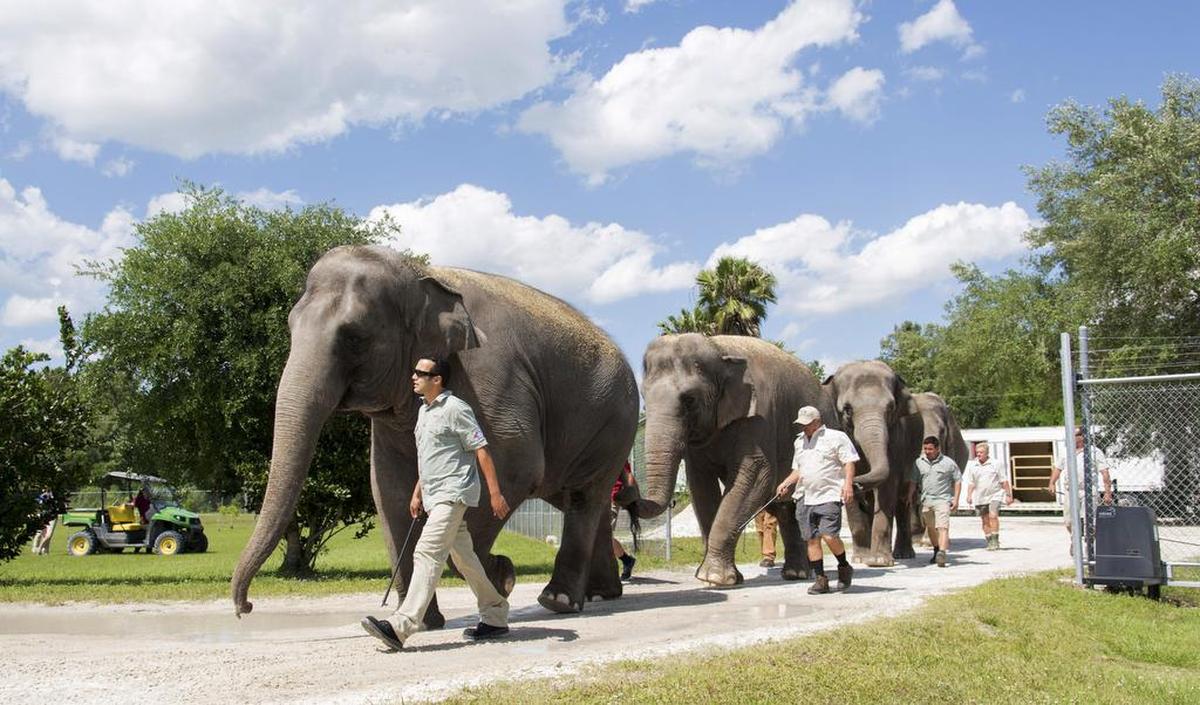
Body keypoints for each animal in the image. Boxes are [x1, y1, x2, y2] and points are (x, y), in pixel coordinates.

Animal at [231, 245, 639, 619]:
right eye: (290, 326)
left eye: (354, 336)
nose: (246, 607)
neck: (419, 273)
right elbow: (388, 486)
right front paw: (425, 621)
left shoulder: (492, 376)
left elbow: (515, 466)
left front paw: (500, 574)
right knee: (583, 501)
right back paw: (601, 594)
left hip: (614, 422)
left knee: (584, 498)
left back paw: (558, 601)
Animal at [635, 333, 828, 586]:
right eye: (644, 397)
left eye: (689, 400)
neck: (719, 350)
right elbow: (701, 486)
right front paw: (715, 577)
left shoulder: (761, 415)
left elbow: (757, 474)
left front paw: (714, 578)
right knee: (785, 509)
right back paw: (795, 574)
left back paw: (801, 574)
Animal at [822, 361, 922, 566]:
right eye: (847, 409)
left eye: (891, 408)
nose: (857, 484)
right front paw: (860, 559)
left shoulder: (896, 439)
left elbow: (888, 486)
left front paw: (878, 561)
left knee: (901, 500)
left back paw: (902, 554)